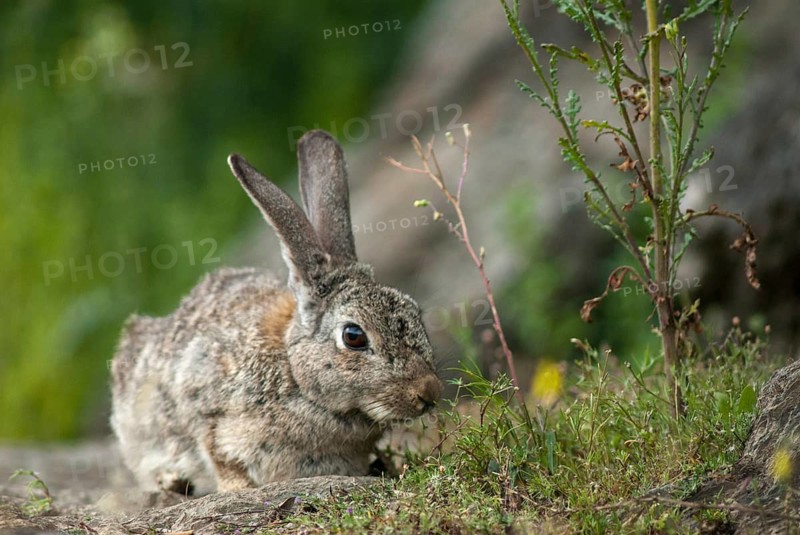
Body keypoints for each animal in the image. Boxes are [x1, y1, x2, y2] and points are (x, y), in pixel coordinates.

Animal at [110, 130, 442, 495]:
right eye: (353, 336)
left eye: (416, 312)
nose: (429, 392)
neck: (296, 375)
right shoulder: (203, 406)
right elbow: (216, 451)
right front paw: (237, 489)